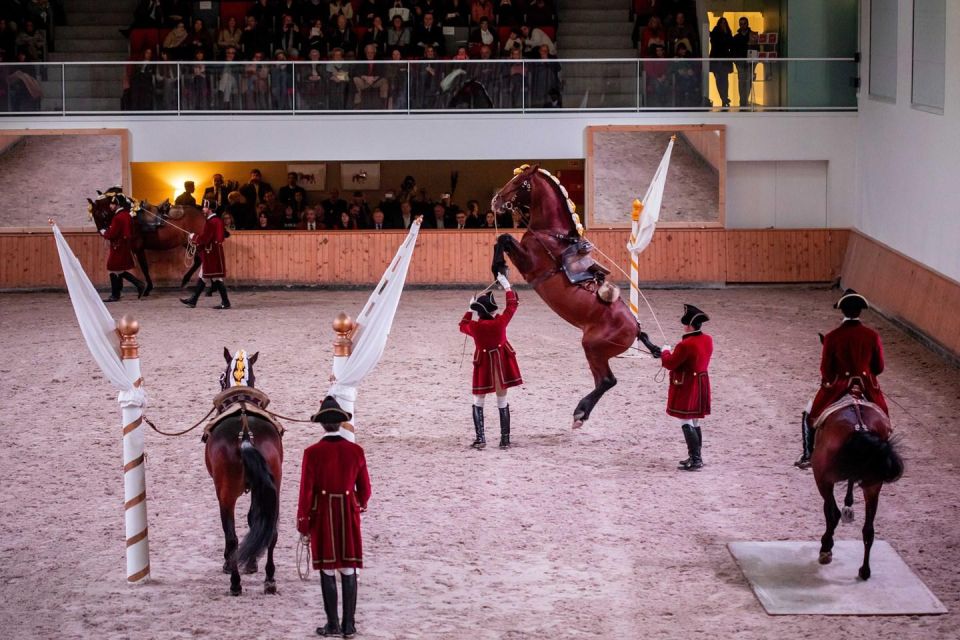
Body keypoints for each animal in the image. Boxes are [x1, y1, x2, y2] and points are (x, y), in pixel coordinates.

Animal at [203, 350, 284, 596]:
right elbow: (253, 519)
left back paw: (235, 582)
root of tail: (246, 436)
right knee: (271, 532)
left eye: (221, 378)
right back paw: (269, 580)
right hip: (273, 489)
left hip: (226, 495)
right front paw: (252, 563)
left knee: (232, 538)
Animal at [492, 164, 664, 430]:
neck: (551, 234)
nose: (496, 200)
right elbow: (503, 239)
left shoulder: (530, 264)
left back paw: (580, 413)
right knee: (603, 381)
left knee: (607, 380)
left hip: (593, 347)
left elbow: (505, 238)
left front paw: (499, 267)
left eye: (519, 182)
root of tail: (636, 328)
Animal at [812, 384, 904, 580]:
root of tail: (860, 427)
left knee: (834, 512)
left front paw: (827, 547)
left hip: (823, 477)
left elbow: (830, 511)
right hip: (873, 484)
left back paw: (826, 549)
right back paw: (865, 570)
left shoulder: (825, 479)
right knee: (868, 529)